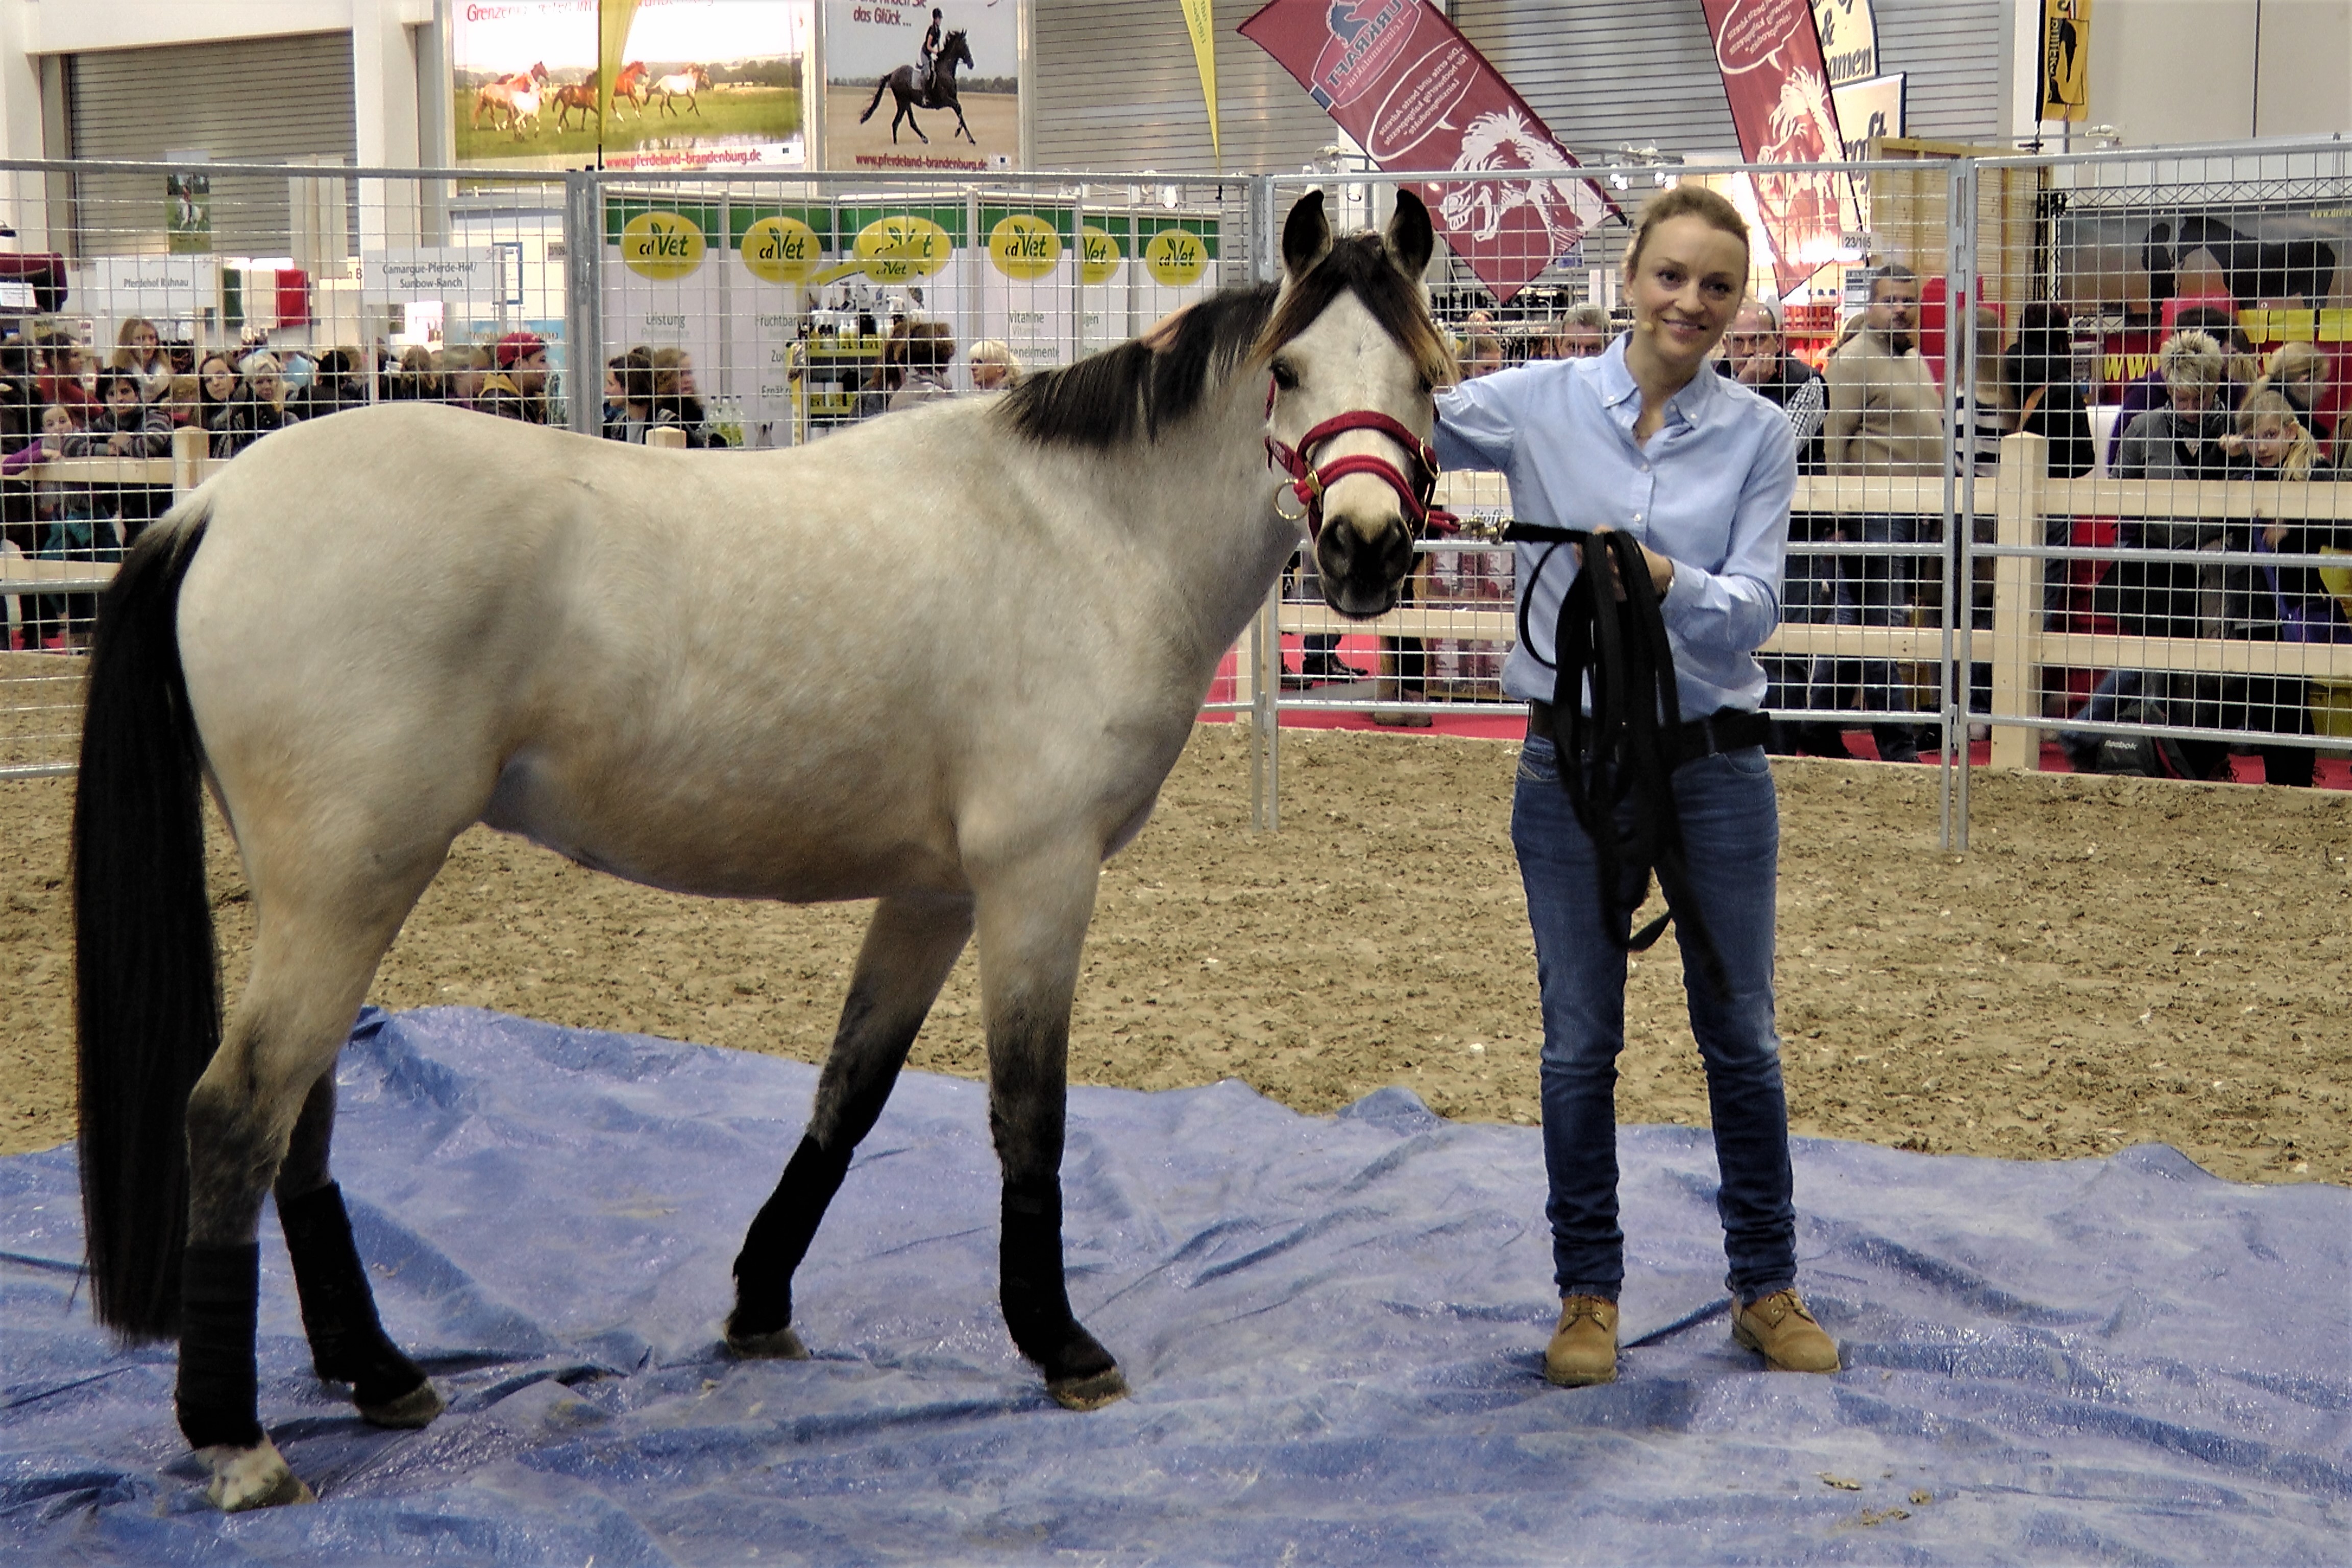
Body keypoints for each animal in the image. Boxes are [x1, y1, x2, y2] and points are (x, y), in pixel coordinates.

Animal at [78, 190, 1449, 1514]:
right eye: (1289, 371)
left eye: (1427, 371)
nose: (1366, 545)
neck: (1080, 536)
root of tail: (212, 504)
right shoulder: (1037, 878)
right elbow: (1030, 1114)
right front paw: (1059, 1343)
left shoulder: (934, 892)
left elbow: (851, 1091)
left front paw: (758, 1303)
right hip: (345, 885)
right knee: (238, 1116)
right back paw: (239, 1440)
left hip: (333, 892)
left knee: (299, 1120)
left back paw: (378, 1373)